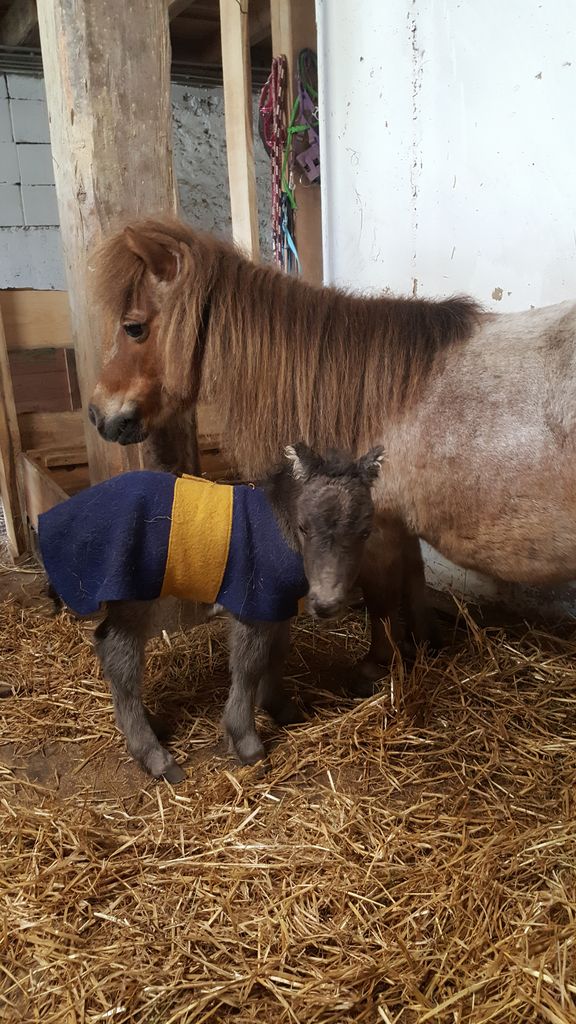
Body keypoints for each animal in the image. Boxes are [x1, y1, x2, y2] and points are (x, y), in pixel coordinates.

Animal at [41, 443, 383, 782]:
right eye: (304, 527)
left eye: (366, 533)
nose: (326, 604)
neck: (279, 527)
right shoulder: (252, 605)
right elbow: (249, 666)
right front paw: (247, 743)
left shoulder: (275, 604)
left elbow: (277, 653)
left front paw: (281, 708)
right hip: (131, 593)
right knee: (119, 657)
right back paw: (155, 756)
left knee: (107, 646)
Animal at [88, 216, 576, 674]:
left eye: (134, 327)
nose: (97, 414)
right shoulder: (398, 525)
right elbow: (413, 584)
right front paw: (426, 645)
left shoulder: (375, 526)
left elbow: (381, 598)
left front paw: (377, 664)